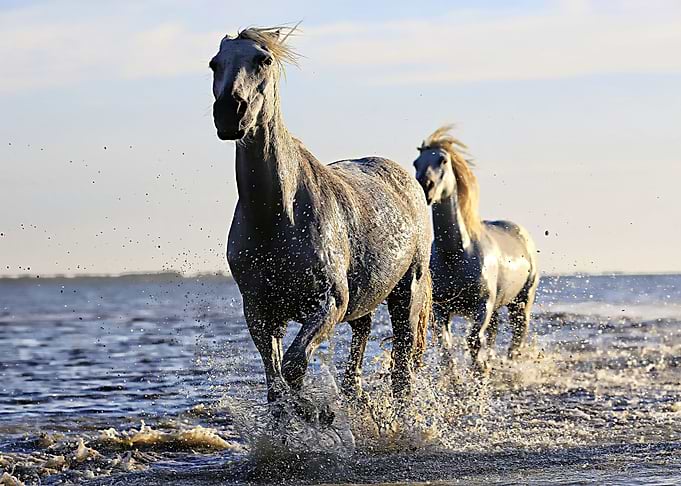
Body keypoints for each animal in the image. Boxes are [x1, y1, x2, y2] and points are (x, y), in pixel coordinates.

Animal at [209, 26, 432, 415]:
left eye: (263, 59)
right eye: (214, 64)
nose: (229, 112)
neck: (277, 216)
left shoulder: (329, 303)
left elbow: (294, 367)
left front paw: (316, 415)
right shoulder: (260, 312)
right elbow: (276, 383)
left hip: (408, 293)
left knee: (402, 370)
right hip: (365, 300)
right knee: (361, 341)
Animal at [412, 126, 538, 372]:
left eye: (443, 160)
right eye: (416, 163)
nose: (425, 186)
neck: (456, 254)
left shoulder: (482, 306)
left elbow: (473, 342)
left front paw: (479, 372)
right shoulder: (441, 310)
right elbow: (446, 346)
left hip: (521, 302)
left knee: (517, 335)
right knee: (494, 332)